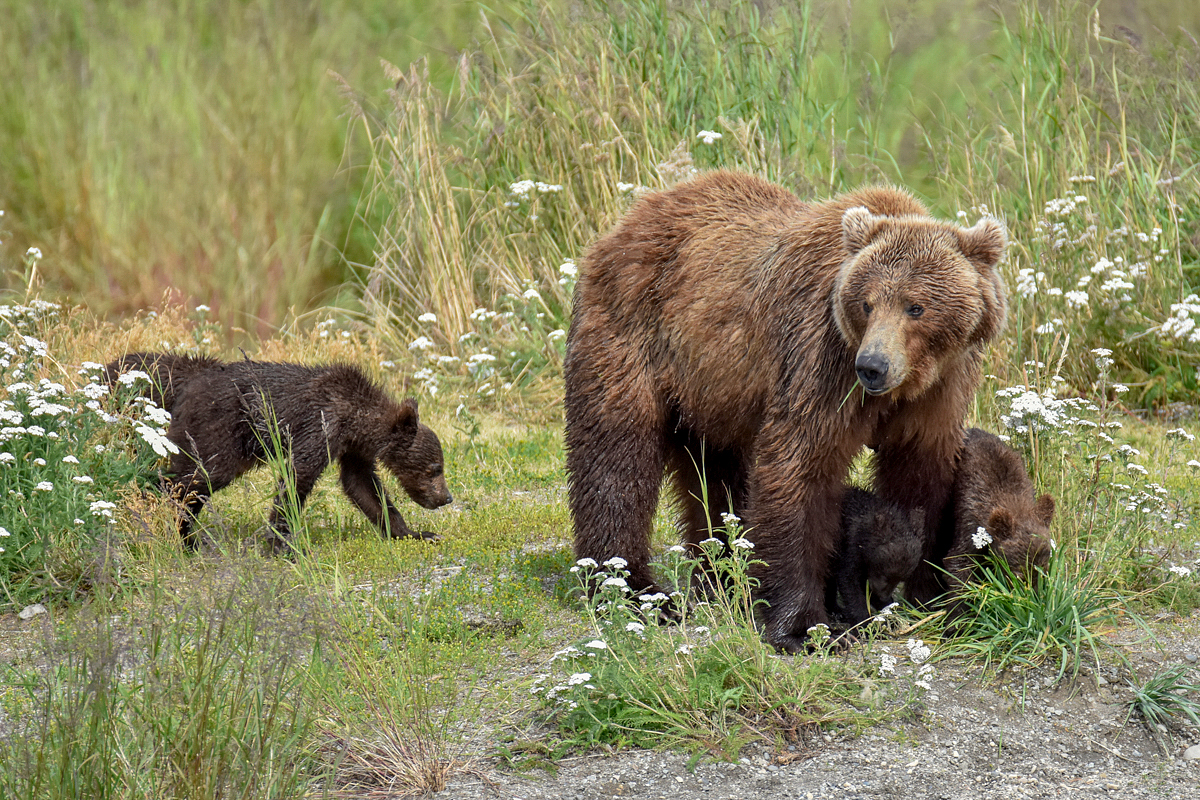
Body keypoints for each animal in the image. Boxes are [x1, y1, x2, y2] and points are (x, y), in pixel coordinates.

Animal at [561, 169, 1003, 652]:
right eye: (867, 303)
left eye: (916, 306)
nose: (872, 366)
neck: (906, 383)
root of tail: (627, 220)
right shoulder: (821, 361)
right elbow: (800, 466)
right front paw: (807, 627)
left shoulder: (939, 392)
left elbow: (922, 479)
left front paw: (935, 597)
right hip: (632, 331)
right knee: (617, 456)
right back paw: (632, 588)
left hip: (713, 387)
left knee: (716, 473)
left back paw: (722, 577)